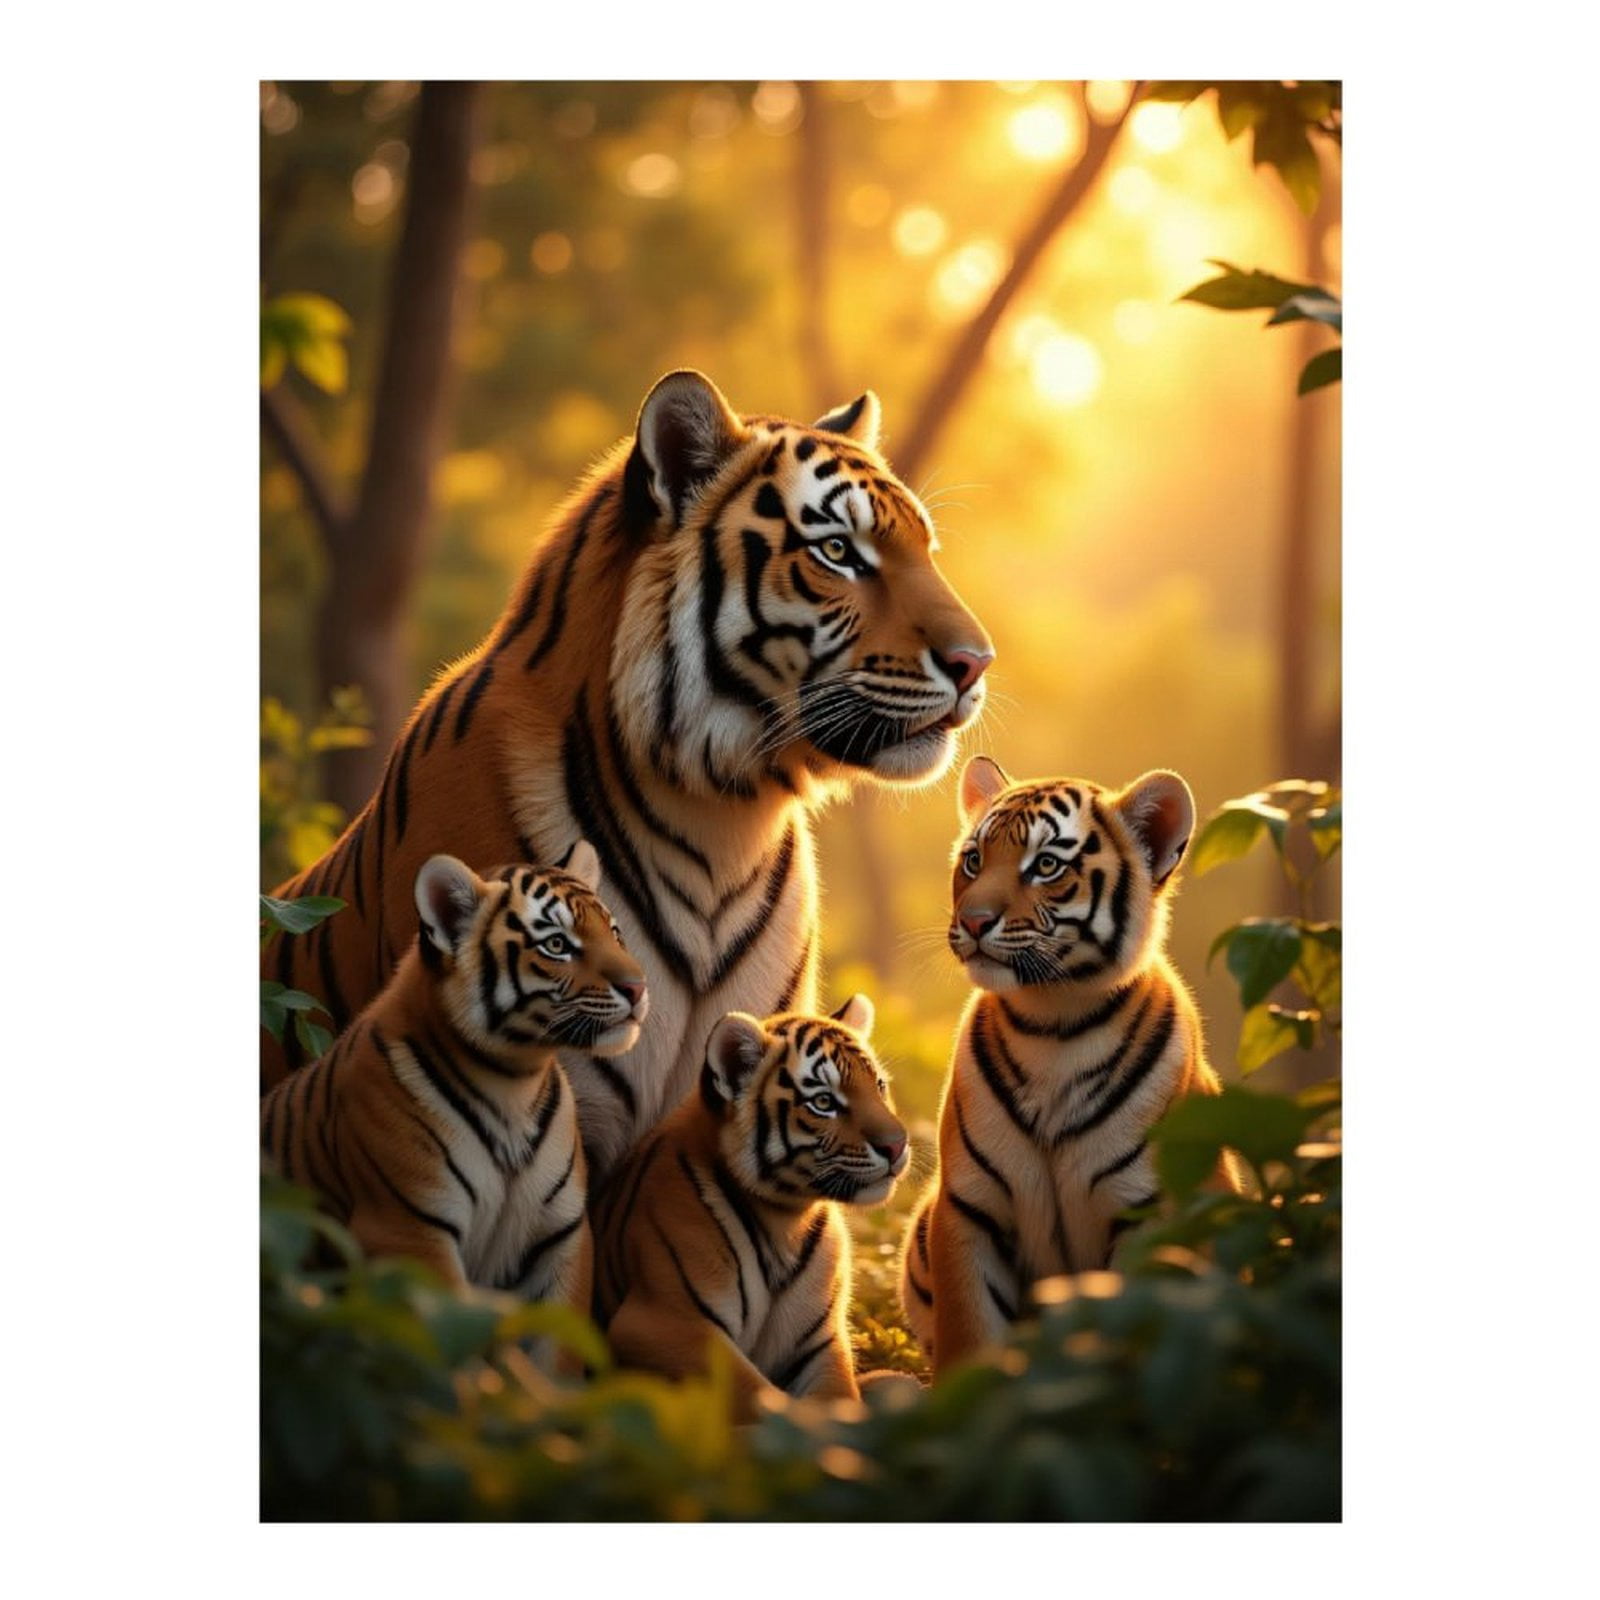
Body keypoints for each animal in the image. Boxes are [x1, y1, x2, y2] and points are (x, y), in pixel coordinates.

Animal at [260, 842, 646, 1312]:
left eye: (615, 933)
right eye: (557, 944)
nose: (639, 987)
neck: (515, 1081)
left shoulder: (563, 1238)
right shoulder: (407, 1229)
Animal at [592, 996, 908, 1422]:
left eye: (878, 1086)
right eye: (823, 1102)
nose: (898, 1145)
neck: (786, 1218)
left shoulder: (823, 1342)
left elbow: (839, 1397)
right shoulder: (661, 1322)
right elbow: (757, 1395)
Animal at [901, 755, 1236, 1375]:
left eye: (1046, 865)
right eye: (974, 859)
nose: (974, 921)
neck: (1053, 1024)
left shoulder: (1147, 1211)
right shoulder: (969, 1209)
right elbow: (968, 1340)